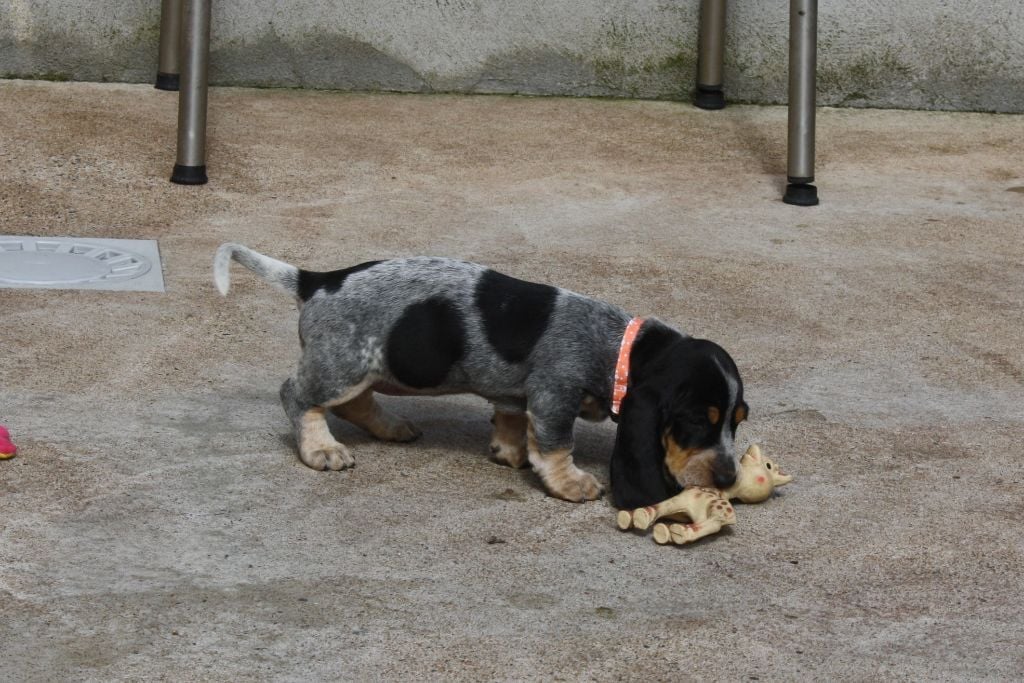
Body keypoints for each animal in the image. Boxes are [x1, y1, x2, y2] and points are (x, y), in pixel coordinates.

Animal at [213, 244, 748, 508]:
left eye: (737, 420)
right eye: (698, 420)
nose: (728, 478)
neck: (619, 346)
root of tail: (318, 280)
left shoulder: (519, 394)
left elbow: (511, 417)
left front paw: (508, 452)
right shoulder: (555, 393)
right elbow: (556, 445)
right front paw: (570, 482)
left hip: (369, 367)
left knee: (353, 402)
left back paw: (390, 427)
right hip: (342, 365)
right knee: (299, 396)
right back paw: (321, 449)